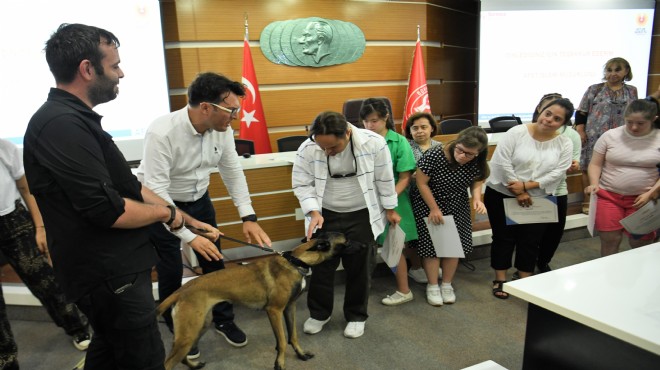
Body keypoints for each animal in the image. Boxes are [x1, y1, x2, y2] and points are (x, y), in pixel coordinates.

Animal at [157, 233, 358, 368]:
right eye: (347, 241)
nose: (364, 245)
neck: (295, 261)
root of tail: (182, 289)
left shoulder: (289, 308)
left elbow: (292, 335)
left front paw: (300, 354)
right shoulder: (274, 311)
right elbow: (283, 340)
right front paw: (279, 363)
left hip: (198, 327)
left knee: (182, 357)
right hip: (189, 333)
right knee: (168, 363)